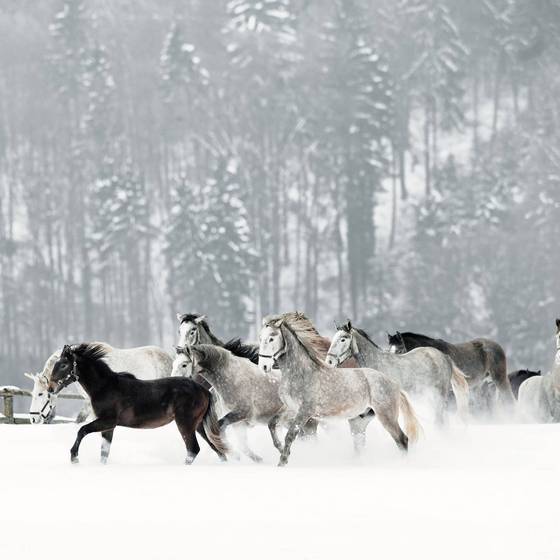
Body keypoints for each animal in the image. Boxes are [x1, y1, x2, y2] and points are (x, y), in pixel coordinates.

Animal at [47, 344, 228, 466]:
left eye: (63, 365)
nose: (50, 388)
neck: (105, 387)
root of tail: (204, 391)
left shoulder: (107, 421)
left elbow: (82, 430)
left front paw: (74, 458)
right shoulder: (109, 427)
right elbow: (104, 452)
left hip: (185, 423)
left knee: (193, 449)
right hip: (198, 425)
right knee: (216, 448)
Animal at [258, 312, 420, 466]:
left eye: (271, 338)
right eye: (260, 338)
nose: (263, 366)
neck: (301, 372)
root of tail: (393, 383)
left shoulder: (305, 412)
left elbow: (291, 435)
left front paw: (282, 461)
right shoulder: (291, 408)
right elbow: (272, 424)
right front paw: (280, 449)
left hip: (386, 416)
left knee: (402, 440)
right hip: (358, 422)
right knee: (360, 445)